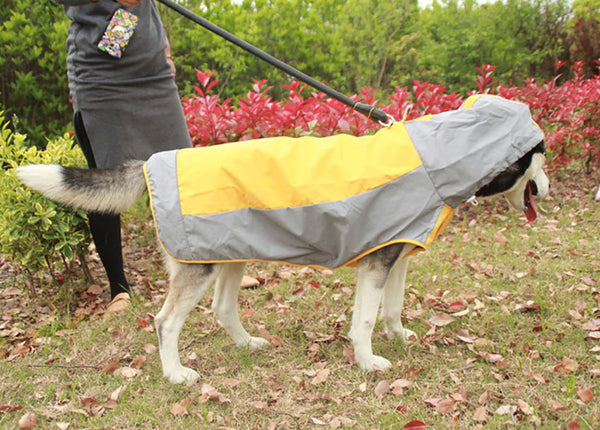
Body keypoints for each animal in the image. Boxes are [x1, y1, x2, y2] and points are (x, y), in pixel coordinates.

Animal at [16, 95, 552, 384]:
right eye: (541, 156)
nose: (548, 189)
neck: (436, 155)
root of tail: (153, 161)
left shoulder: (396, 259)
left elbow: (393, 309)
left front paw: (400, 338)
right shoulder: (375, 265)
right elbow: (364, 321)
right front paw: (368, 362)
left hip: (232, 256)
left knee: (222, 310)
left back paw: (247, 343)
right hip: (199, 267)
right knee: (165, 323)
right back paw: (175, 373)